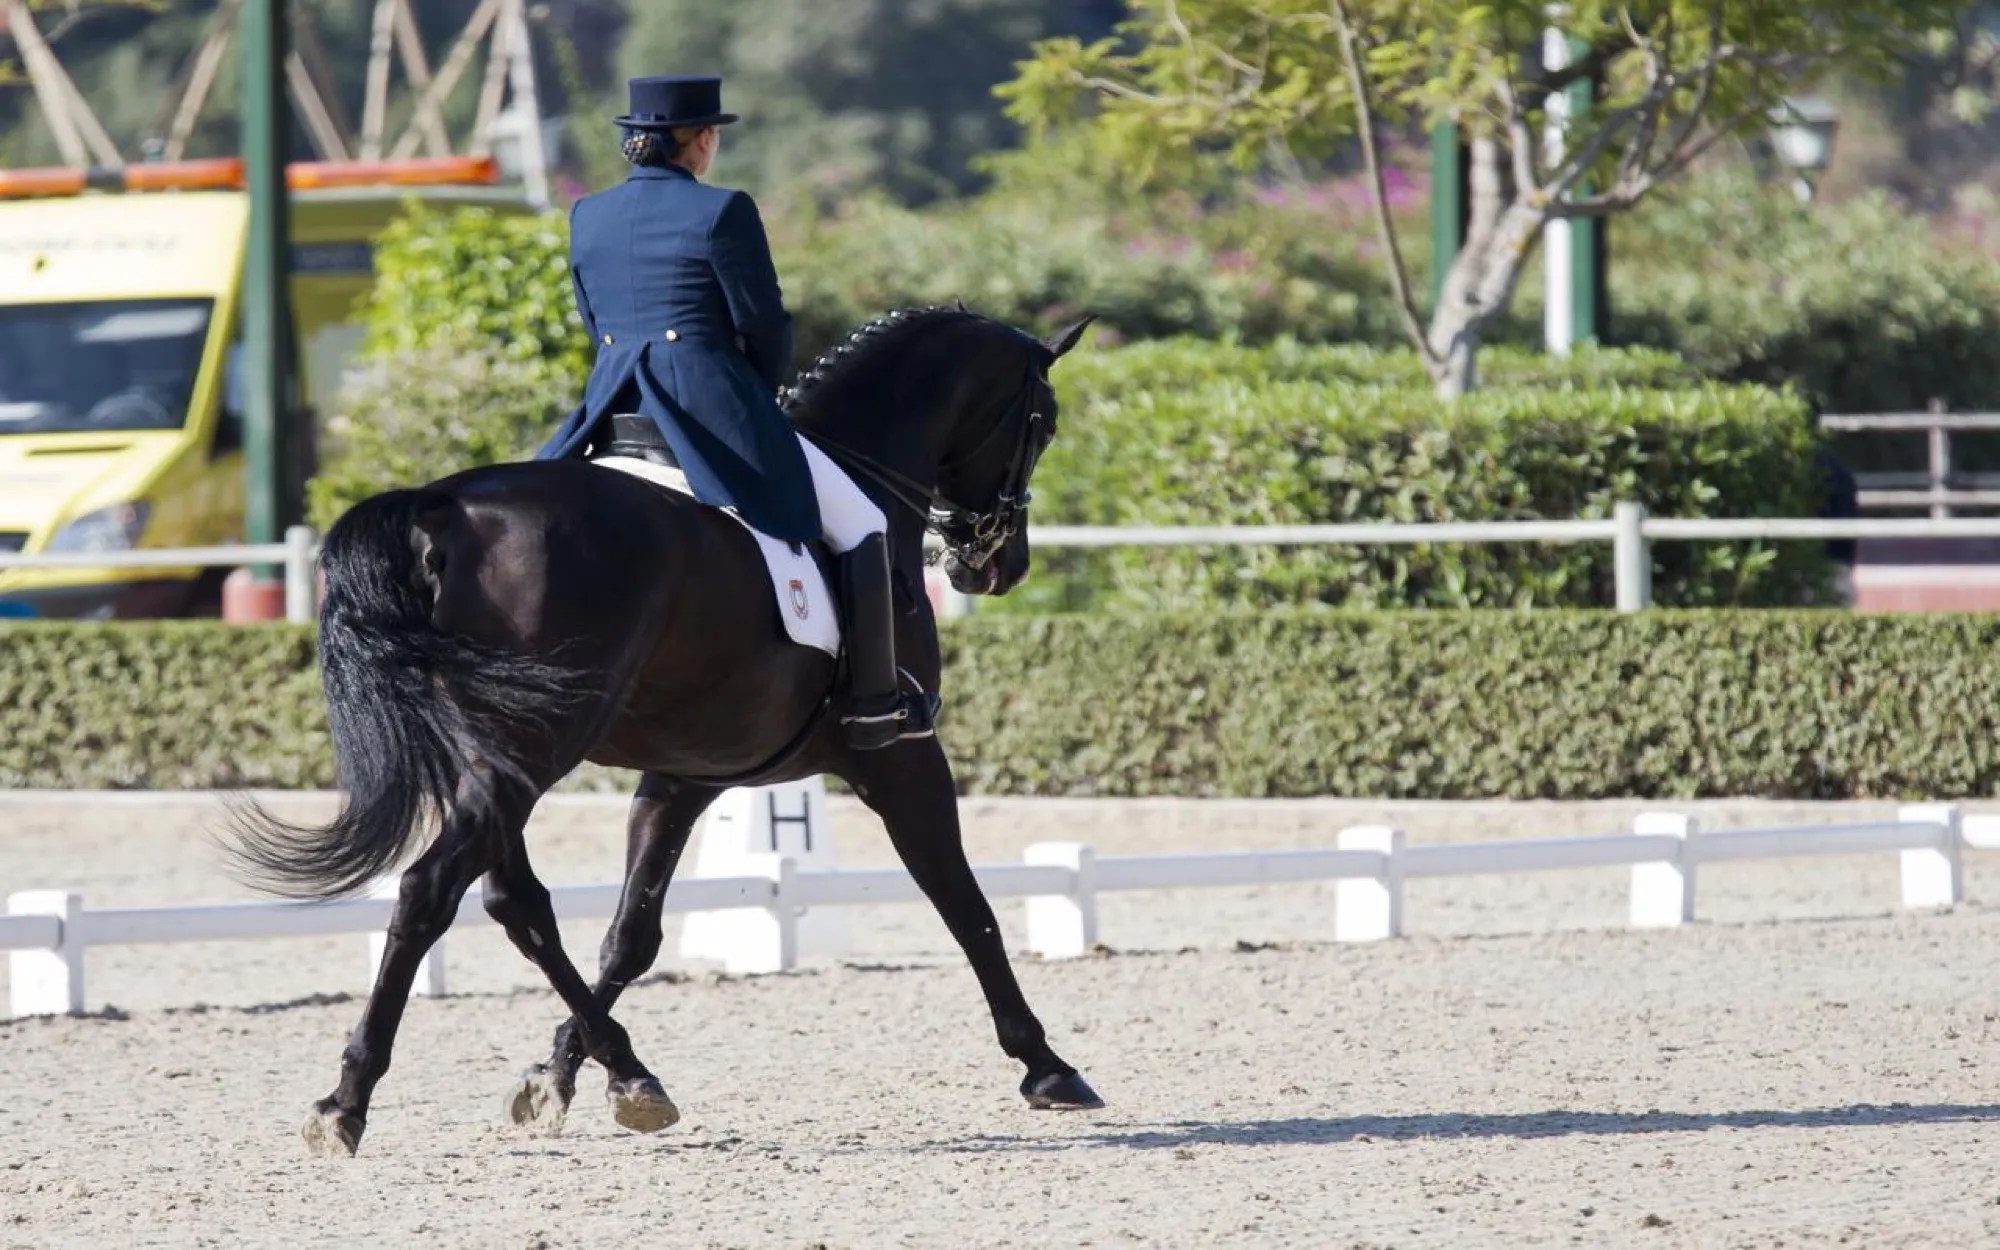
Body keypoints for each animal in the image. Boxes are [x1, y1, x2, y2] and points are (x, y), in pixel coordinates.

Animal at [223, 305, 1103, 1158]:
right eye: (1045, 422)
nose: (996, 567)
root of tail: (442, 506)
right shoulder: (903, 759)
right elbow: (964, 902)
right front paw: (1047, 1065)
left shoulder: (686, 775)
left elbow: (631, 936)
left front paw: (557, 1075)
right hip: (534, 746)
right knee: (431, 889)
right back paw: (348, 1102)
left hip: (494, 755)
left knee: (514, 900)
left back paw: (626, 1072)